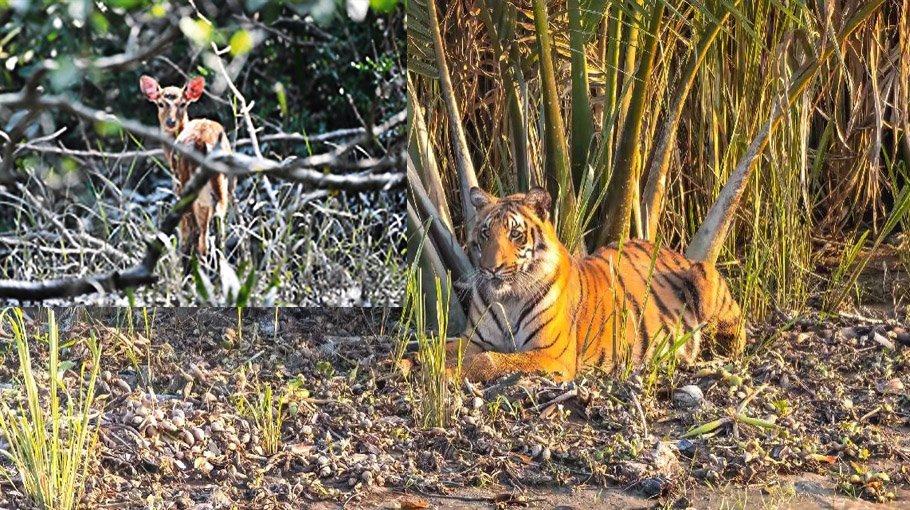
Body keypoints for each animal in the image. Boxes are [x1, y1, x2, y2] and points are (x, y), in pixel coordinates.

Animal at [140, 75, 231, 259]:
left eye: (183, 103)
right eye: (161, 103)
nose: (170, 122)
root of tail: (203, 143)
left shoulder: (177, 187)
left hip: (186, 185)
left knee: (194, 234)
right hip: (220, 187)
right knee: (215, 226)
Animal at [446, 186, 746, 382]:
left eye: (515, 234)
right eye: (485, 234)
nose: (490, 268)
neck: (507, 299)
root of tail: (674, 251)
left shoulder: (551, 354)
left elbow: (490, 360)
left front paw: (447, 373)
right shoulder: (474, 339)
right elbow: (443, 346)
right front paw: (436, 364)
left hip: (704, 276)